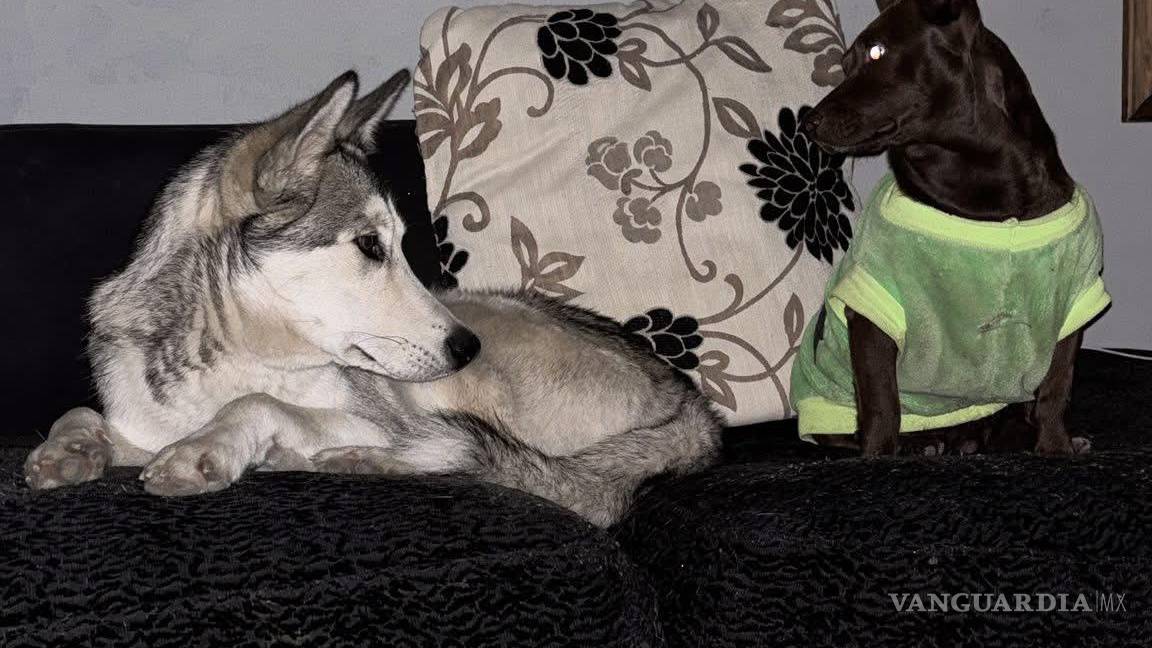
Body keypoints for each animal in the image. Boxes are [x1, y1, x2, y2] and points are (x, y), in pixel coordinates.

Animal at [23, 70, 721, 527]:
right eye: (369, 245)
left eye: (402, 245)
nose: (466, 348)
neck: (233, 358)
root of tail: (692, 406)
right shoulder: (139, 428)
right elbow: (81, 414)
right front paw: (70, 450)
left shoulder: (370, 414)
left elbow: (261, 404)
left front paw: (207, 449)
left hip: (471, 374)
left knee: (479, 461)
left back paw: (342, 458)